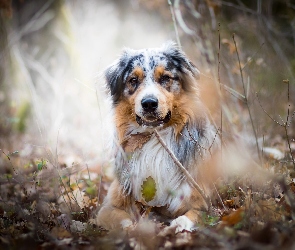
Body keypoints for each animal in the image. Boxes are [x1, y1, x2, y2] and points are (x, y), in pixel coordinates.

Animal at [97, 42, 220, 233]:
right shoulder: (108, 206)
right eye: (133, 80)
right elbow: (122, 218)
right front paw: (133, 229)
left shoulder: (204, 203)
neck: (154, 138)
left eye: (165, 78)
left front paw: (180, 223)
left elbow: (194, 214)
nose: (149, 103)